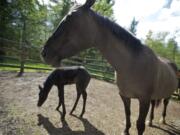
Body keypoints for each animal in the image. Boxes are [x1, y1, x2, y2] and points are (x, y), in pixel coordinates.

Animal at [40, 0, 177, 134]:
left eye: (70, 18)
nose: (44, 53)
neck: (133, 65)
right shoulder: (125, 96)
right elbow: (127, 114)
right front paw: (126, 130)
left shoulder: (144, 100)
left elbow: (139, 125)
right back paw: (151, 121)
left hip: (167, 95)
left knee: (165, 103)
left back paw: (162, 119)